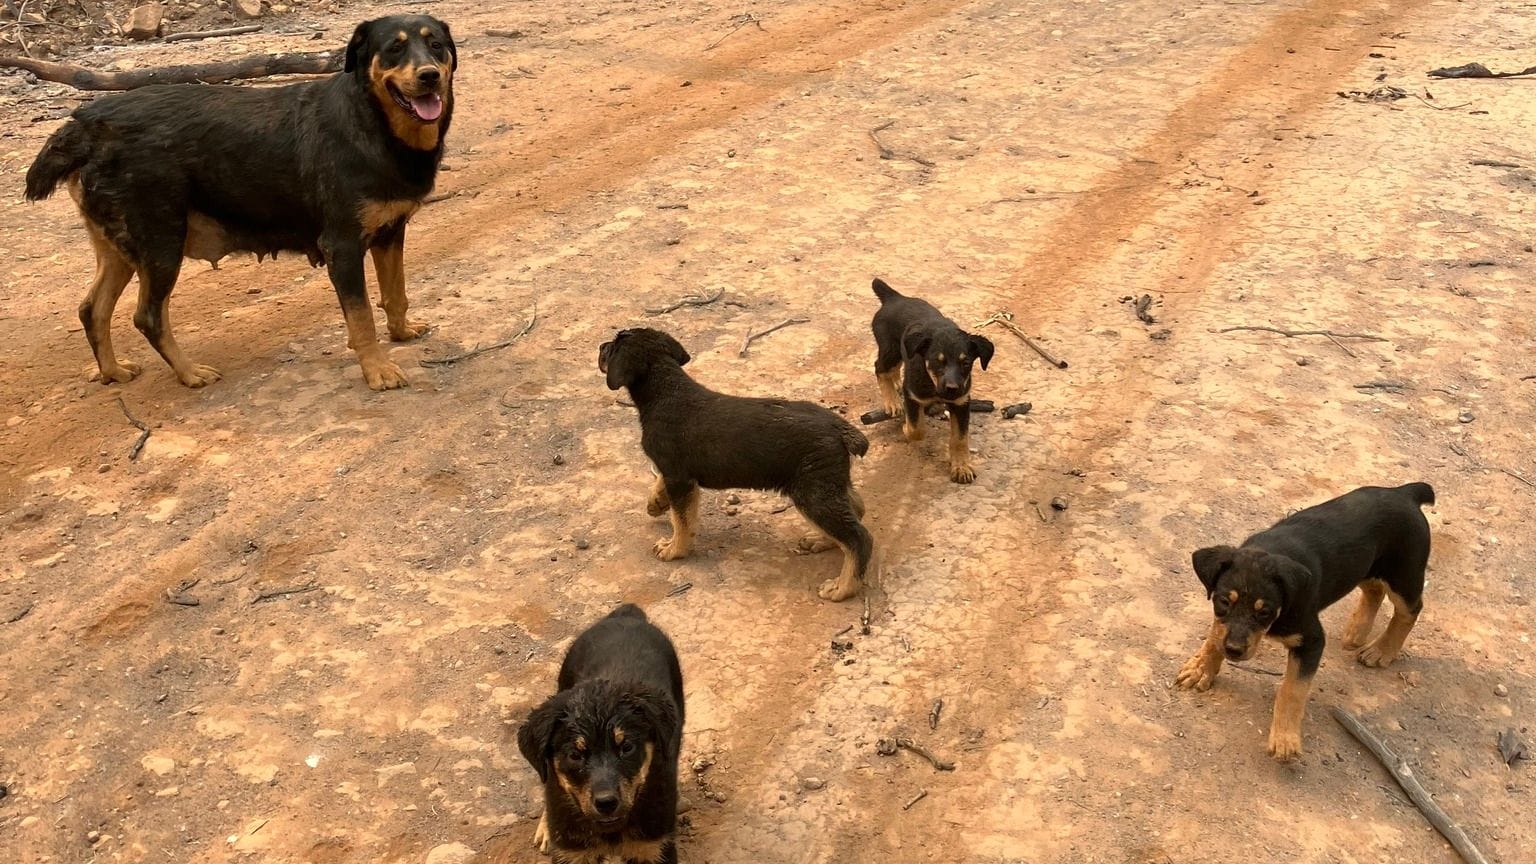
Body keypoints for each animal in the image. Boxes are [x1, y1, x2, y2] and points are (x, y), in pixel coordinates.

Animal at [25, 15, 454, 390]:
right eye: (394, 49)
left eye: (436, 45)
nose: (429, 75)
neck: (372, 122)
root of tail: (85, 123)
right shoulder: (343, 246)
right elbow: (362, 317)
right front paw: (377, 370)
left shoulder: (390, 232)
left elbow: (396, 294)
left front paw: (401, 333)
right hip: (161, 243)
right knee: (147, 316)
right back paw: (189, 373)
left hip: (121, 247)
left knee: (92, 309)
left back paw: (112, 371)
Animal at [516, 602, 685, 860]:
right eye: (575, 755)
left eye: (627, 747)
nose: (606, 803)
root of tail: (626, 615)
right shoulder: (572, 851)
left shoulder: (655, 846)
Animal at [872, 281, 1001, 485]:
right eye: (937, 362)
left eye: (965, 363)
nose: (952, 389)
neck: (933, 385)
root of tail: (895, 297)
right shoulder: (912, 396)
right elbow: (917, 429)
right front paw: (906, 428)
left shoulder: (961, 402)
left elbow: (960, 439)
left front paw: (961, 467)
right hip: (889, 348)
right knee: (880, 368)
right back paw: (892, 401)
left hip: (900, 351)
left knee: (894, 368)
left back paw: (897, 384)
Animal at [1173, 479, 1437, 756]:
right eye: (1224, 601)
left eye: (1264, 611)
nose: (1234, 651)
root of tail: (1405, 492)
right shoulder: (1223, 620)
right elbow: (1216, 633)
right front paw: (1201, 668)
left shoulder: (1311, 640)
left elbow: (1293, 689)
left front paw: (1285, 739)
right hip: (1365, 567)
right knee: (1374, 590)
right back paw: (1357, 631)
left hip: (1404, 575)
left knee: (1410, 610)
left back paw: (1381, 650)